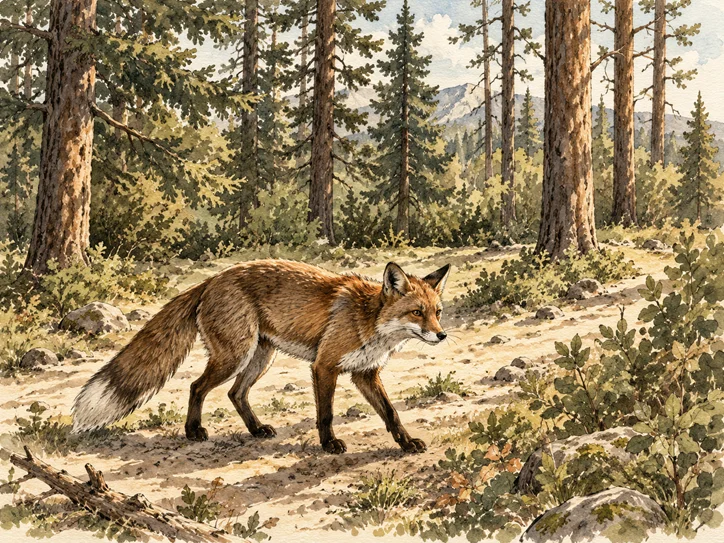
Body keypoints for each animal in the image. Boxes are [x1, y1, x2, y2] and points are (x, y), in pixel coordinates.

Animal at [73, 259, 451, 454]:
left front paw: (406, 443)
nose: (442, 335)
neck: (368, 318)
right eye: (417, 312)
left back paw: (256, 430)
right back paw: (194, 431)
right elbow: (326, 414)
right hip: (234, 356)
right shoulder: (324, 366)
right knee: (197, 387)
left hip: (259, 358)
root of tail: (212, 279)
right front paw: (329, 443)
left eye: (438, 312)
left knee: (234, 393)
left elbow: (391, 413)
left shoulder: (365, 373)